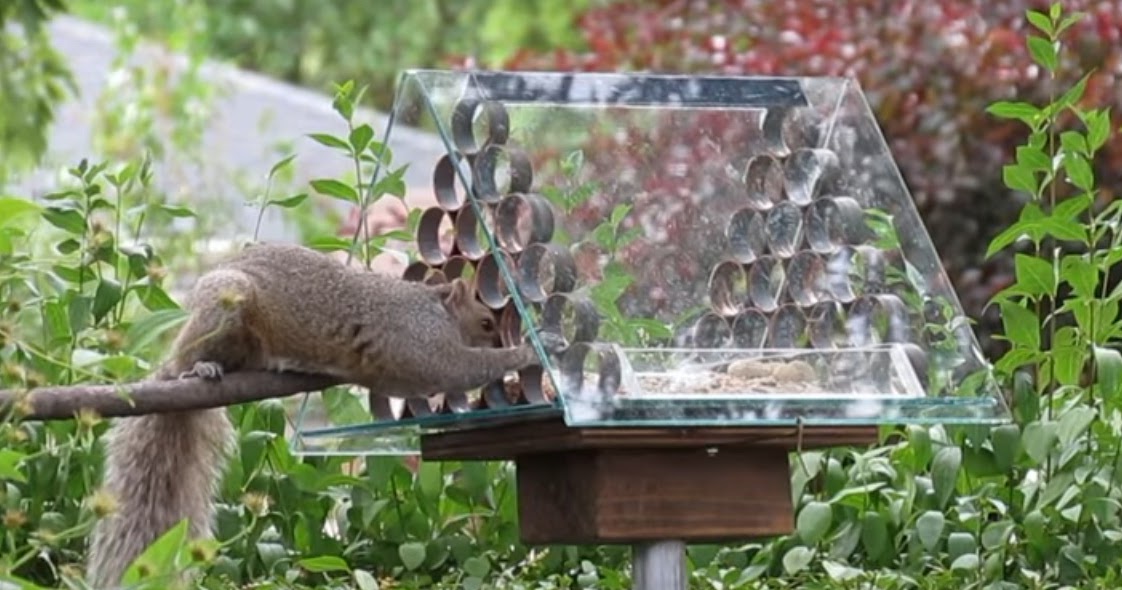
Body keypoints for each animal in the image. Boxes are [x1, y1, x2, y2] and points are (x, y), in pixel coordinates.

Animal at [87, 242, 557, 588]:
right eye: (485, 322)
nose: (503, 339)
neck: (433, 310)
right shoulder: (422, 344)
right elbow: (459, 368)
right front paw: (528, 352)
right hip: (223, 307)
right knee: (192, 356)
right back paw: (201, 367)